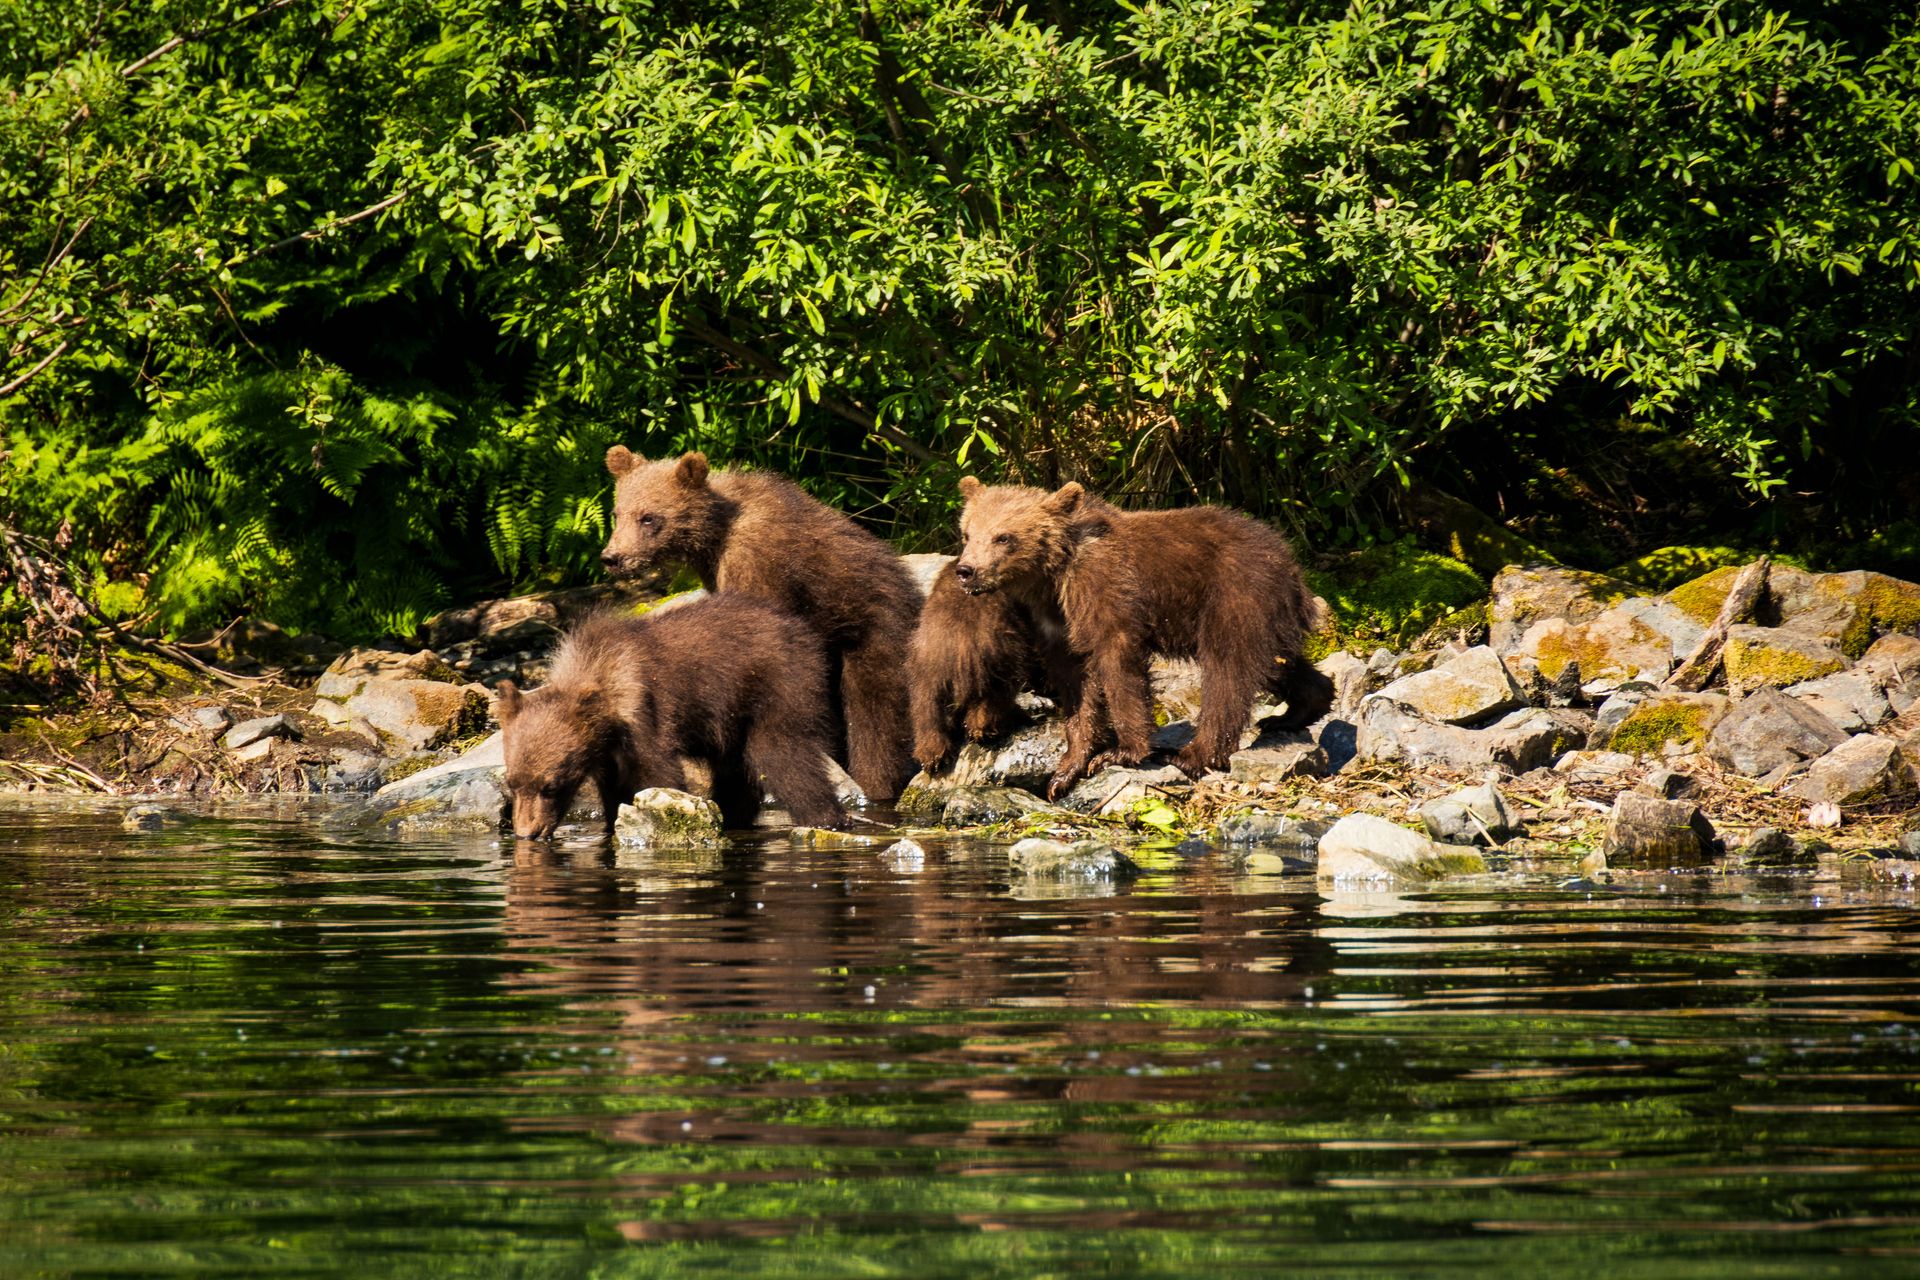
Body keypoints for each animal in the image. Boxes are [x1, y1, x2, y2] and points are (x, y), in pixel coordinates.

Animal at [495, 596, 847, 840]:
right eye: (512, 783)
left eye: (551, 785)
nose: (527, 833)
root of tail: (801, 629)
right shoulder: (607, 755)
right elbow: (613, 795)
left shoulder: (645, 718)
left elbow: (659, 776)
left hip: (777, 690)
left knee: (785, 759)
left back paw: (824, 818)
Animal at [600, 448, 918, 800]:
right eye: (617, 512)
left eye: (649, 517)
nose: (612, 557)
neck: (715, 535)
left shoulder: (756, 563)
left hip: (873, 628)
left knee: (875, 715)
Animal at [906, 566, 1079, 774]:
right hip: (997, 649)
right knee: (995, 692)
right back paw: (984, 727)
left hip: (924, 669)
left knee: (926, 709)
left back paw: (932, 754)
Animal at [950, 477, 1334, 798]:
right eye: (967, 533)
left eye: (1003, 537)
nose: (966, 571)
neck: (1052, 576)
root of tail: (1287, 558)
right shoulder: (1055, 620)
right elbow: (1075, 683)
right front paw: (1066, 770)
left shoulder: (1105, 591)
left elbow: (1117, 663)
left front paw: (1121, 751)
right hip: (1267, 613)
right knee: (1277, 661)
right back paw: (1295, 711)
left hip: (1234, 594)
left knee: (1228, 671)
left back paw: (1193, 754)